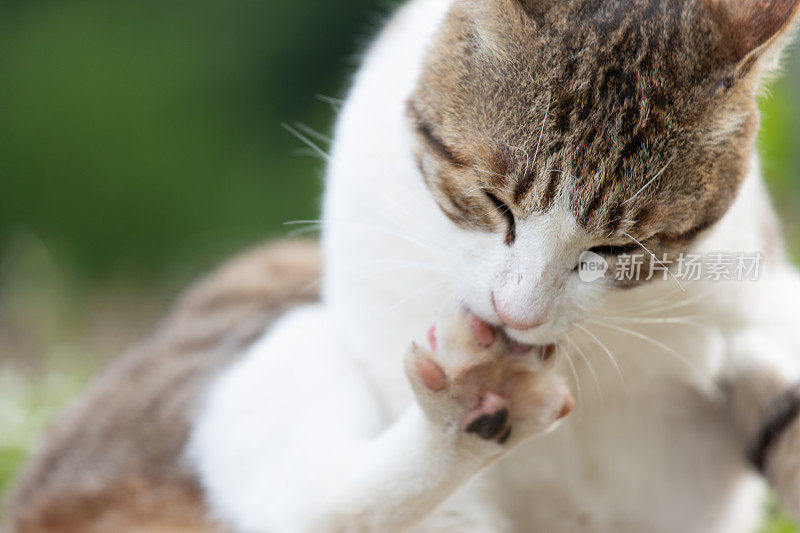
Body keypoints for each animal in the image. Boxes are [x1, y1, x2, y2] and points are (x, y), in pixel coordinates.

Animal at [4, 0, 800, 528]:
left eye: (618, 249)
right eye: (496, 203)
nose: (517, 314)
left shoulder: (759, 306)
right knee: (314, 500)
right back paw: (475, 406)